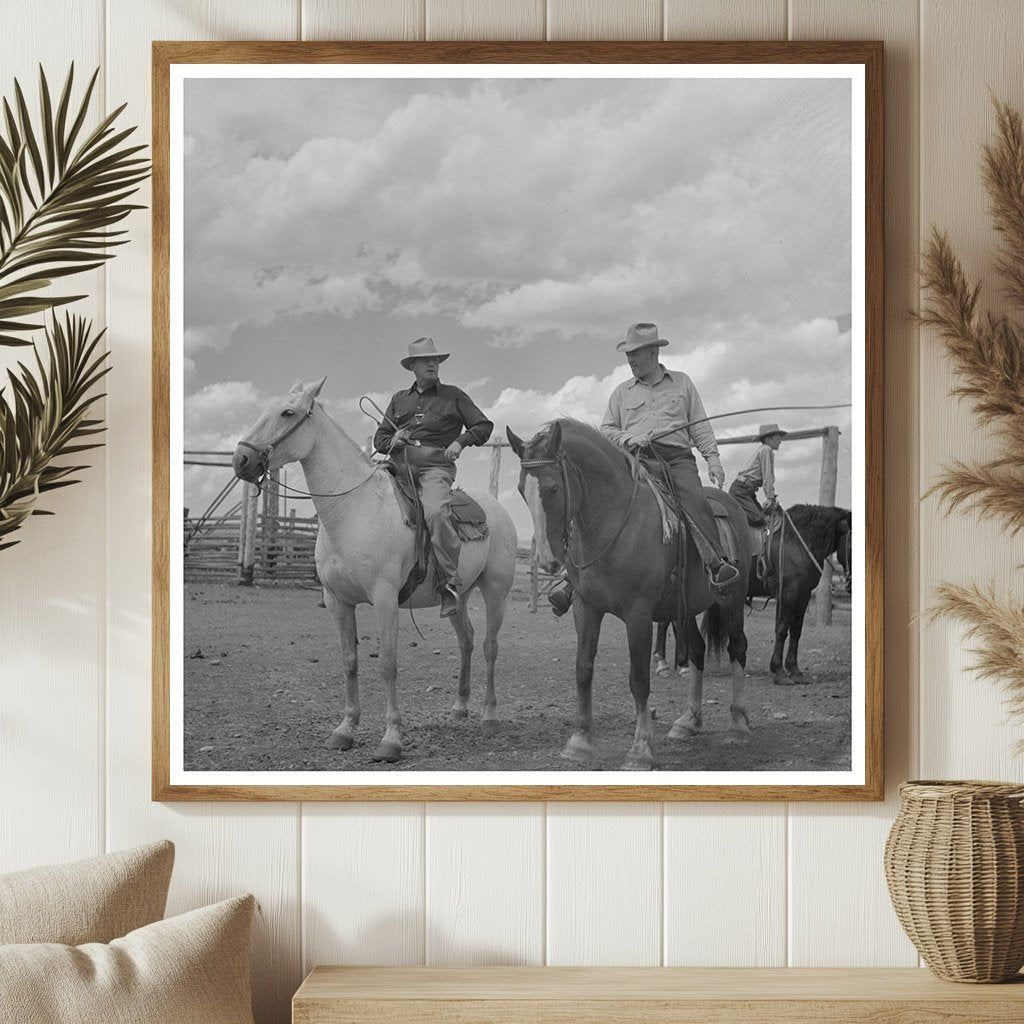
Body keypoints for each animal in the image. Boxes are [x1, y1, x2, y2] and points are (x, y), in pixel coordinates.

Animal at [234, 378, 516, 761]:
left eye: (287, 412)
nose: (241, 459)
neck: (353, 511)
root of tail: (496, 508)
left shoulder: (385, 600)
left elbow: (387, 664)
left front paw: (391, 739)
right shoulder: (337, 601)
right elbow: (350, 661)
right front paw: (345, 729)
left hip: (496, 590)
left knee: (490, 646)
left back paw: (489, 716)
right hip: (459, 595)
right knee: (467, 640)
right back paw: (460, 708)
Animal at [507, 417, 749, 770]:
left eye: (552, 488)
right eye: (522, 491)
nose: (549, 561)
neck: (611, 526)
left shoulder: (638, 615)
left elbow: (639, 680)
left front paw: (641, 750)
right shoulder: (586, 608)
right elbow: (583, 669)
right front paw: (579, 742)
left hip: (732, 600)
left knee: (737, 648)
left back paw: (738, 724)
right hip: (684, 610)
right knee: (697, 650)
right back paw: (689, 722)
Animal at [651, 505, 851, 688]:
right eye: (850, 544)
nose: (849, 586)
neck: (797, 542)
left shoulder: (803, 595)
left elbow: (796, 631)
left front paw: (795, 670)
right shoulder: (788, 594)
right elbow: (782, 629)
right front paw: (779, 672)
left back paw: (678, 663)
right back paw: (669, 663)